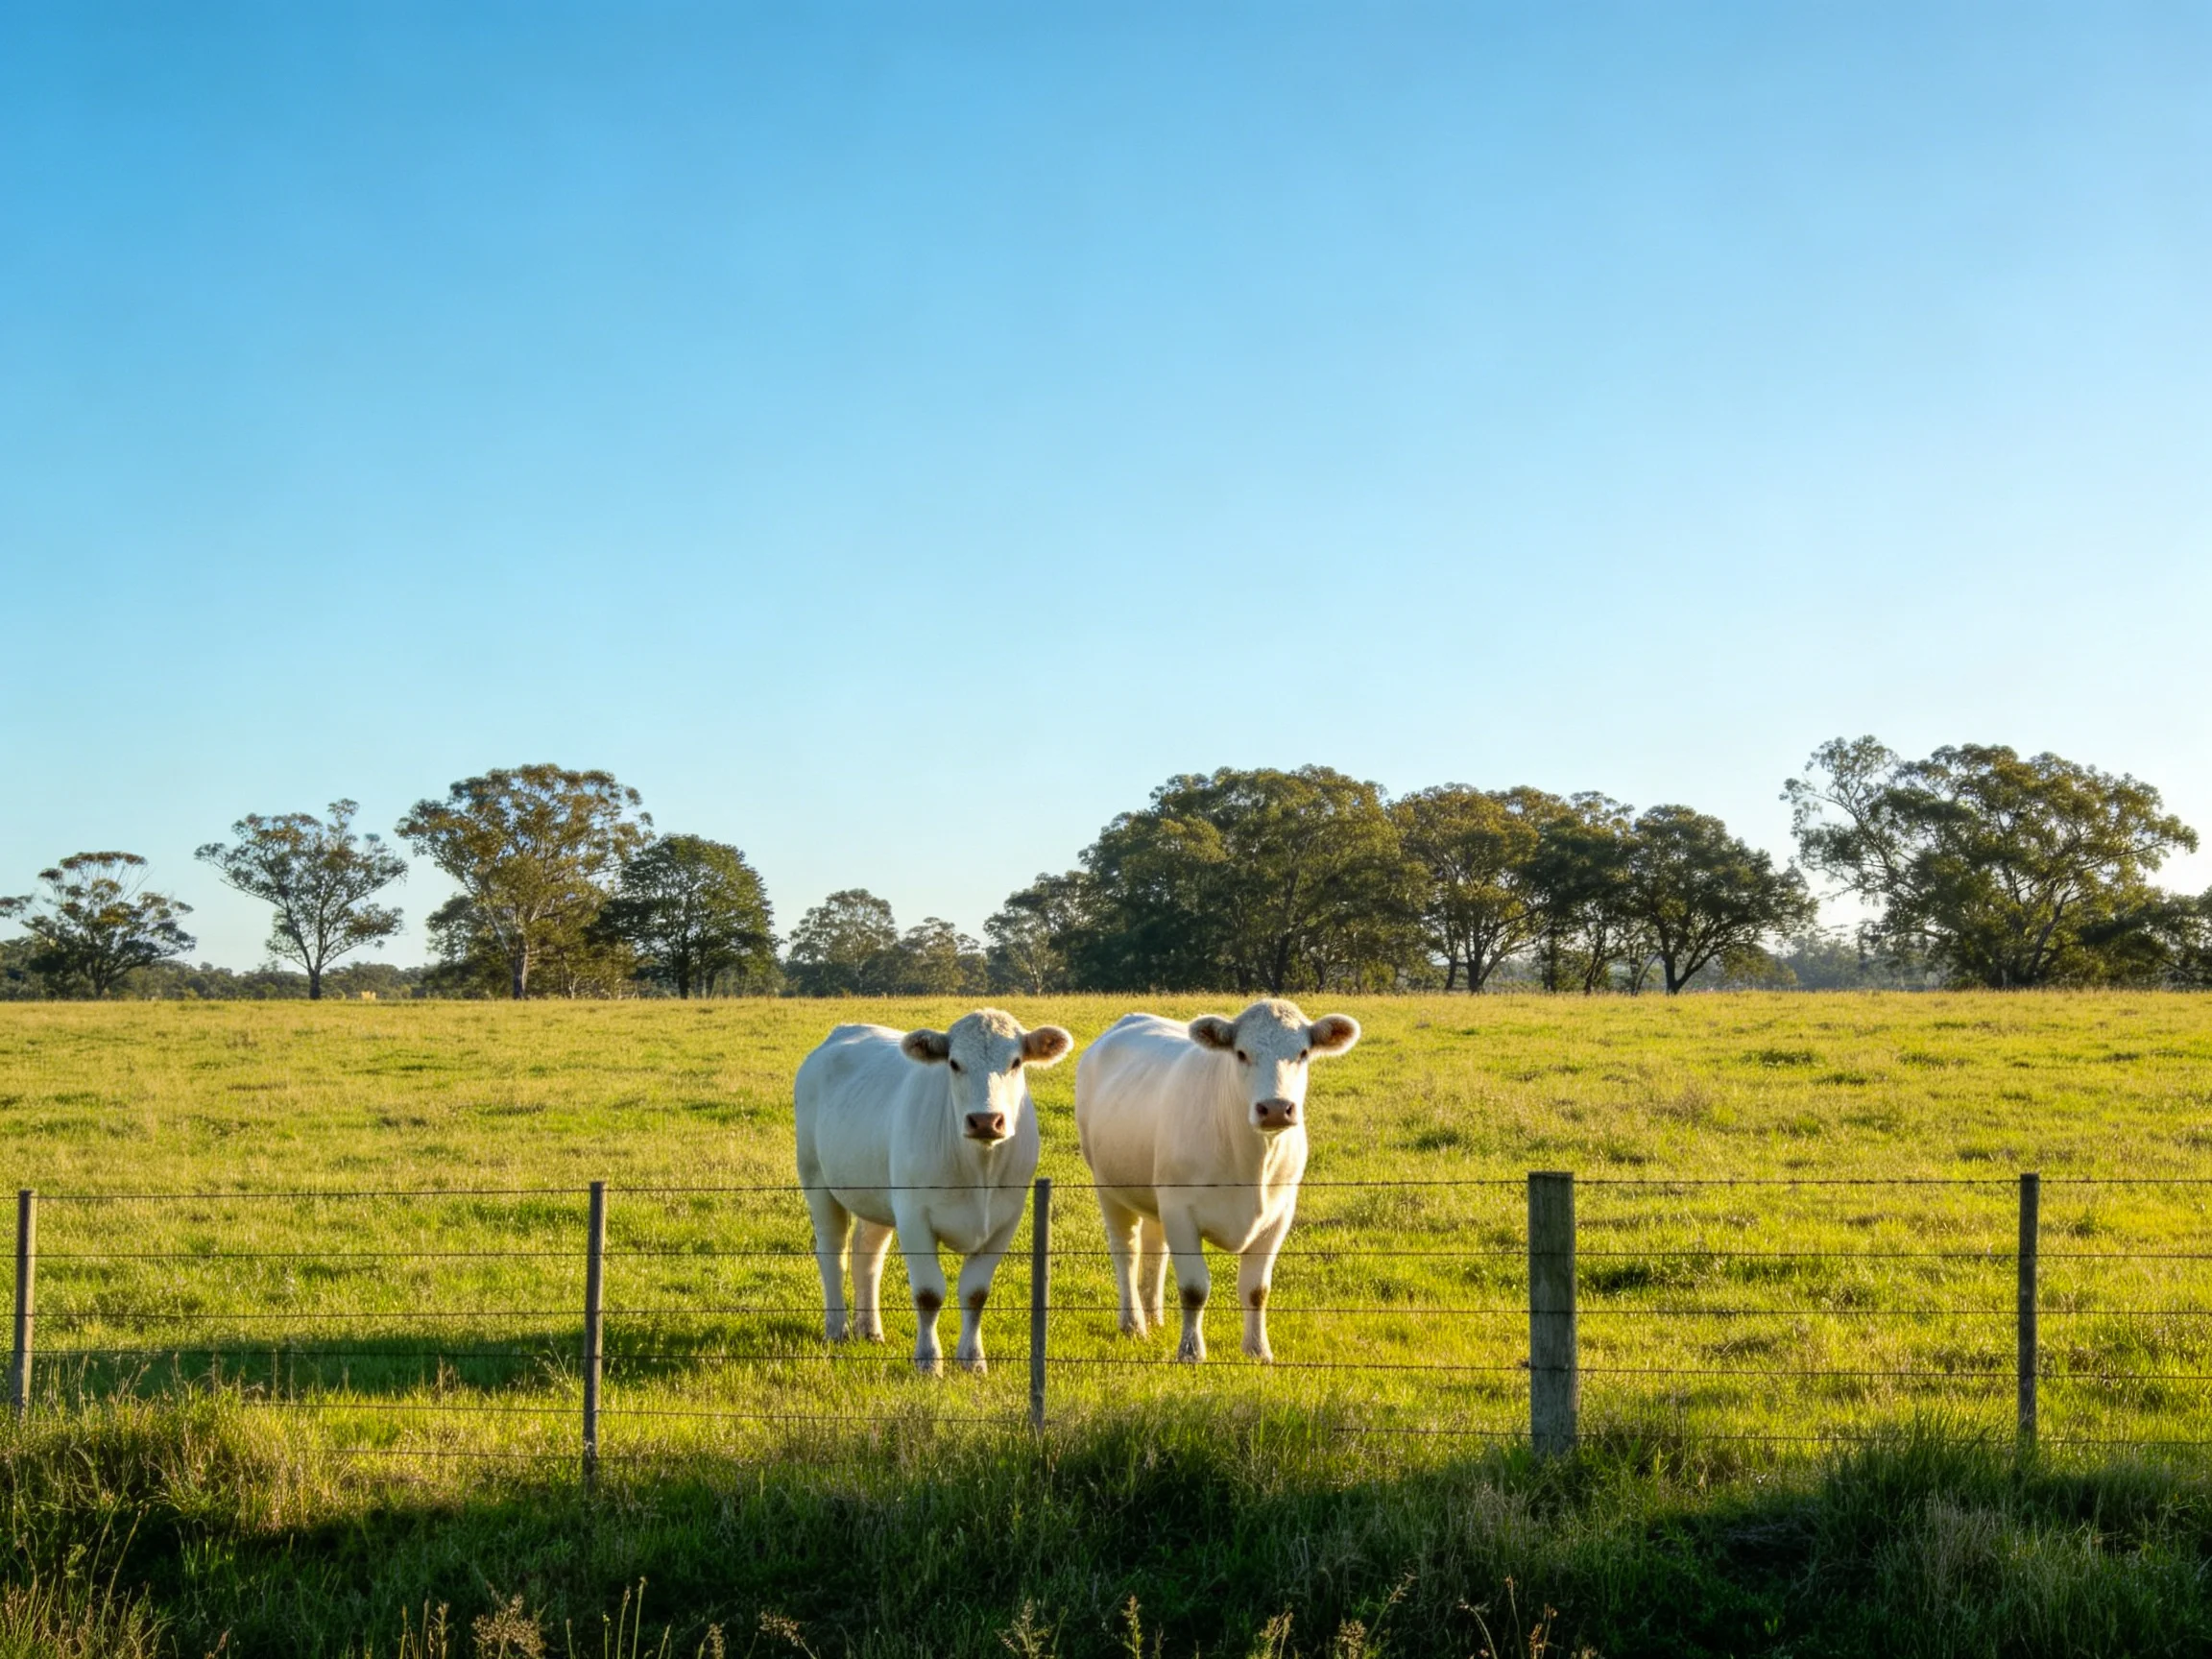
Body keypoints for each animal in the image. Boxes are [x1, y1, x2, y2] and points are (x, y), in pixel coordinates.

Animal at [794, 1009, 1073, 1374]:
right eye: (954, 1063)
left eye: (1015, 1062)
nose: (986, 1120)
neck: (979, 1171)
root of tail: (842, 1031)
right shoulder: (914, 1216)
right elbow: (928, 1294)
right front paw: (928, 1361)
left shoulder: (1006, 1220)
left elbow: (976, 1293)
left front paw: (973, 1360)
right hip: (817, 1181)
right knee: (832, 1254)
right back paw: (836, 1330)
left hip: (877, 1195)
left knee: (867, 1256)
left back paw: (869, 1330)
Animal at [1074, 998, 1361, 1363]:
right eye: (1240, 1053)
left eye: (1303, 1052)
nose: (1276, 1108)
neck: (1251, 1167)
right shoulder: (1180, 1209)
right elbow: (1194, 1288)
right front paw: (1191, 1352)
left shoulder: (1280, 1213)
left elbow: (1256, 1289)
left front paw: (1258, 1350)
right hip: (1109, 1188)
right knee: (1126, 1251)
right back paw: (1134, 1324)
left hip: (1155, 1195)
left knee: (1155, 1249)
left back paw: (1155, 1317)